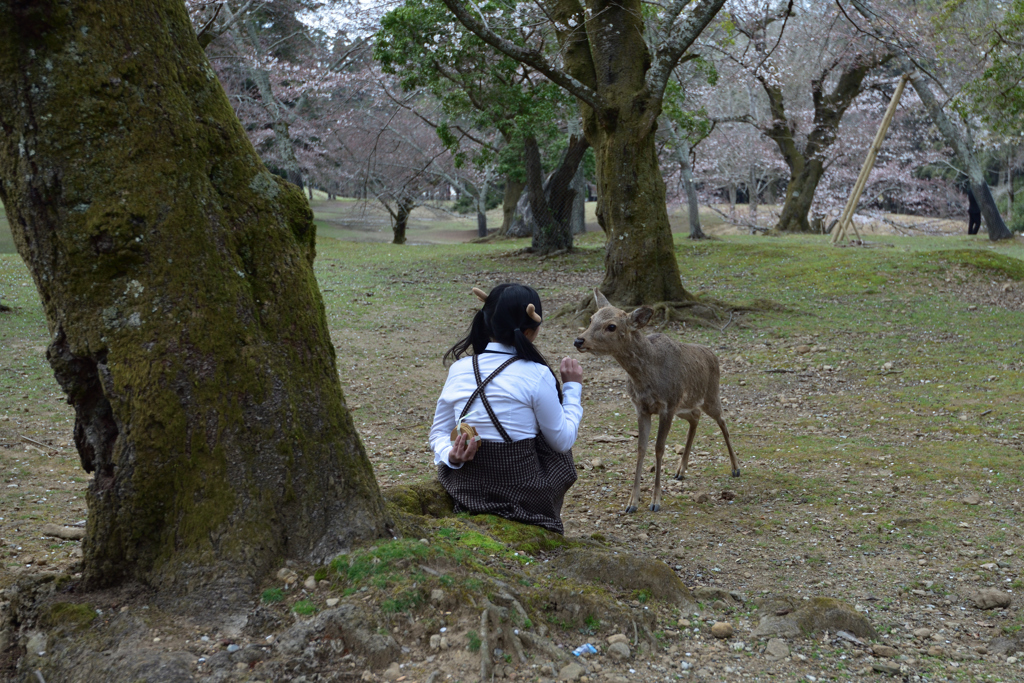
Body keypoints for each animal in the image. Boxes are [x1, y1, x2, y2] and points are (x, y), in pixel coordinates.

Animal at [577, 290, 737, 511]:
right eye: (592, 318)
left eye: (611, 326)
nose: (579, 340)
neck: (646, 377)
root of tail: (713, 354)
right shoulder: (641, 407)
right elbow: (641, 448)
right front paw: (632, 502)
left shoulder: (667, 406)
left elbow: (659, 448)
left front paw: (655, 501)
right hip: (684, 406)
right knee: (695, 417)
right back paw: (680, 471)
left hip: (710, 395)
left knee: (722, 420)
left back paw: (735, 468)